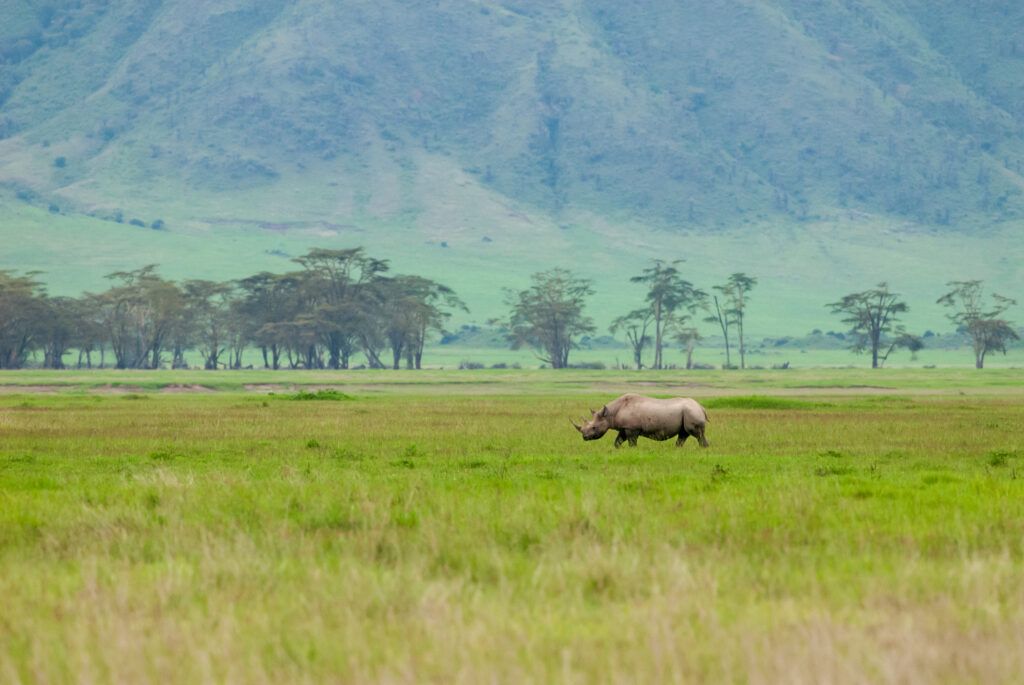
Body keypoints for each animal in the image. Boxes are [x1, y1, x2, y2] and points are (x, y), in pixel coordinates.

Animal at [571, 393, 710, 448]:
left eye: (594, 428)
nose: (584, 437)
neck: (611, 413)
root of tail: (701, 407)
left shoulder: (632, 428)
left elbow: (632, 443)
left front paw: (633, 451)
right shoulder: (624, 428)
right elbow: (617, 441)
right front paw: (618, 449)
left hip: (692, 412)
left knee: (697, 435)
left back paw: (703, 449)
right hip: (688, 412)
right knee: (683, 434)